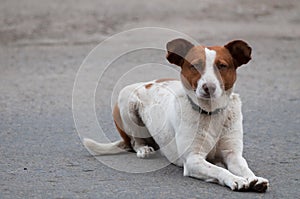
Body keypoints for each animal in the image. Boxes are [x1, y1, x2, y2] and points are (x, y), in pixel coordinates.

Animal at [84, 38, 270, 192]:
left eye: (222, 66)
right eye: (195, 65)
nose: (208, 87)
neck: (210, 113)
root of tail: (146, 82)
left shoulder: (232, 154)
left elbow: (244, 167)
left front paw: (253, 178)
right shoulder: (193, 159)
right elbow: (219, 170)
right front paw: (235, 179)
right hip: (126, 101)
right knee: (134, 142)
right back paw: (143, 149)